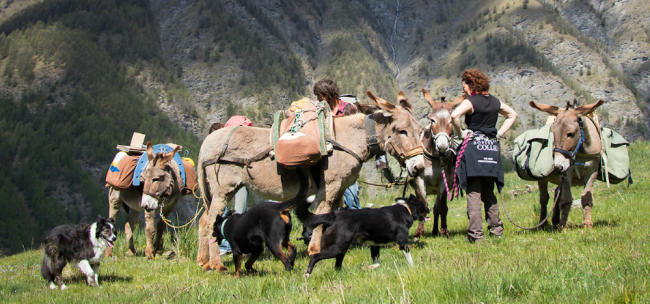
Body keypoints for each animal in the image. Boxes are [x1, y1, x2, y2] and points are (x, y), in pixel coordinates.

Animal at [294, 194, 428, 276]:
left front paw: (372, 267)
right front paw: (413, 268)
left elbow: (377, 261)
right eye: (424, 205)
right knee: (315, 257)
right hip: (338, 248)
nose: (429, 209)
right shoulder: (402, 243)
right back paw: (307, 274)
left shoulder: (374, 245)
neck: (406, 209)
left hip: (341, 250)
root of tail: (336, 215)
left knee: (337, 266)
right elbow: (409, 258)